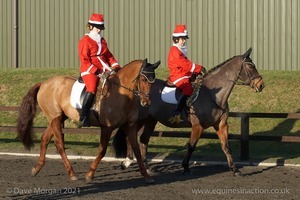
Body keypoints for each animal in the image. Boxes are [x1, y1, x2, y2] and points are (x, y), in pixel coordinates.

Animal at [16, 58, 161, 184]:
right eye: (143, 79)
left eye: (153, 81)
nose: (146, 102)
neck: (122, 94)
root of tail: (44, 84)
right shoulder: (107, 127)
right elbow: (102, 151)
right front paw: (90, 174)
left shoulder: (130, 126)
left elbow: (137, 150)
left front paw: (146, 176)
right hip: (55, 118)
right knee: (59, 144)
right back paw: (72, 174)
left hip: (57, 118)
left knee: (45, 138)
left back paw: (36, 169)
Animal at [113, 47, 264, 176]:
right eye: (251, 66)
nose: (261, 85)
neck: (212, 95)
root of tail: (137, 91)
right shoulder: (198, 126)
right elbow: (191, 146)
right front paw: (185, 167)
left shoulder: (221, 124)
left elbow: (226, 146)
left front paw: (234, 169)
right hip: (140, 120)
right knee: (130, 136)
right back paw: (127, 162)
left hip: (151, 120)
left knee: (143, 139)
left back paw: (144, 166)